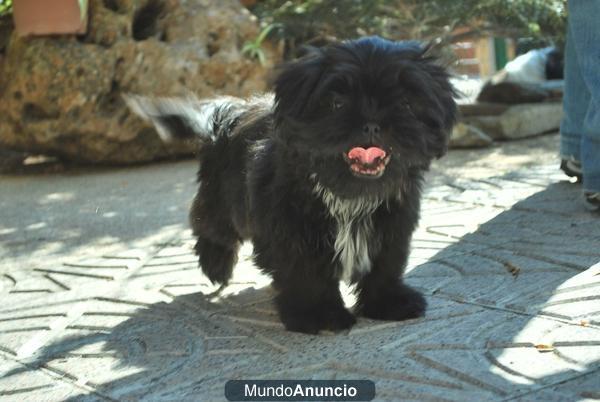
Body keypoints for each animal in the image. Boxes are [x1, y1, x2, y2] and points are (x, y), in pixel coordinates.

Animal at [125, 37, 454, 332]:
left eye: (405, 103)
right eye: (337, 103)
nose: (372, 123)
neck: (348, 194)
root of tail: (230, 111)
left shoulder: (393, 222)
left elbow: (386, 264)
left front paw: (389, 303)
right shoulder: (291, 229)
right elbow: (306, 272)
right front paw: (319, 314)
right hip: (224, 198)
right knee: (211, 224)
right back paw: (215, 265)